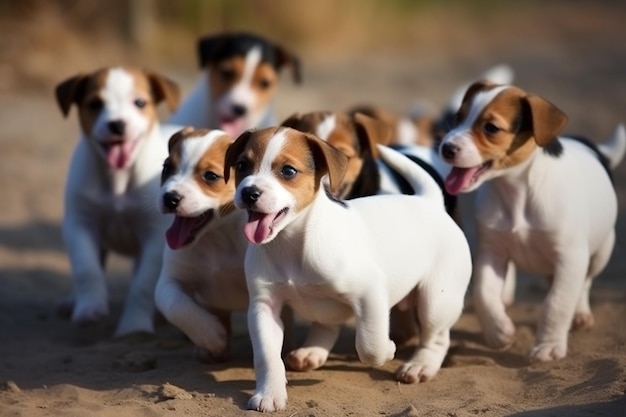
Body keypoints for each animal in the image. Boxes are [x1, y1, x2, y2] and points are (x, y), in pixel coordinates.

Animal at [54, 66, 180, 336]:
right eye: (95, 104)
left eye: (140, 102)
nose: (117, 124)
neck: (118, 179)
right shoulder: (80, 225)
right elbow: (87, 269)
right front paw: (89, 307)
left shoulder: (154, 238)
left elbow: (142, 286)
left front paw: (134, 326)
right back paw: (73, 300)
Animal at [154, 127, 249, 358]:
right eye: (167, 168)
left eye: (210, 176)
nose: (170, 198)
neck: (216, 237)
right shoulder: (169, 281)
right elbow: (177, 307)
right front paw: (210, 335)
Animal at [222, 126, 470, 410]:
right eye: (242, 166)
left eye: (288, 171)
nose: (249, 193)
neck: (293, 243)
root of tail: (430, 202)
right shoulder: (264, 307)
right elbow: (267, 356)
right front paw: (269, 393)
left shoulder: (369, 292)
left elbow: (370, 345)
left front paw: (388, 349)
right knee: (327, 325)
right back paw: (312, 352)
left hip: (436, 300)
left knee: (437, 337)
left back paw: (421, 365)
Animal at [438, 80, 624, 360]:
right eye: (458, 118)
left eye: (491, 128)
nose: (446, 148)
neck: (516, 191)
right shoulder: (491, 252)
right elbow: (483, 294)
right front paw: (498, 331)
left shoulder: (570, 258)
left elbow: (557, 303)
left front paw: (549, 346)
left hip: (601, 251)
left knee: (585, 283)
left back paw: (580, 313)